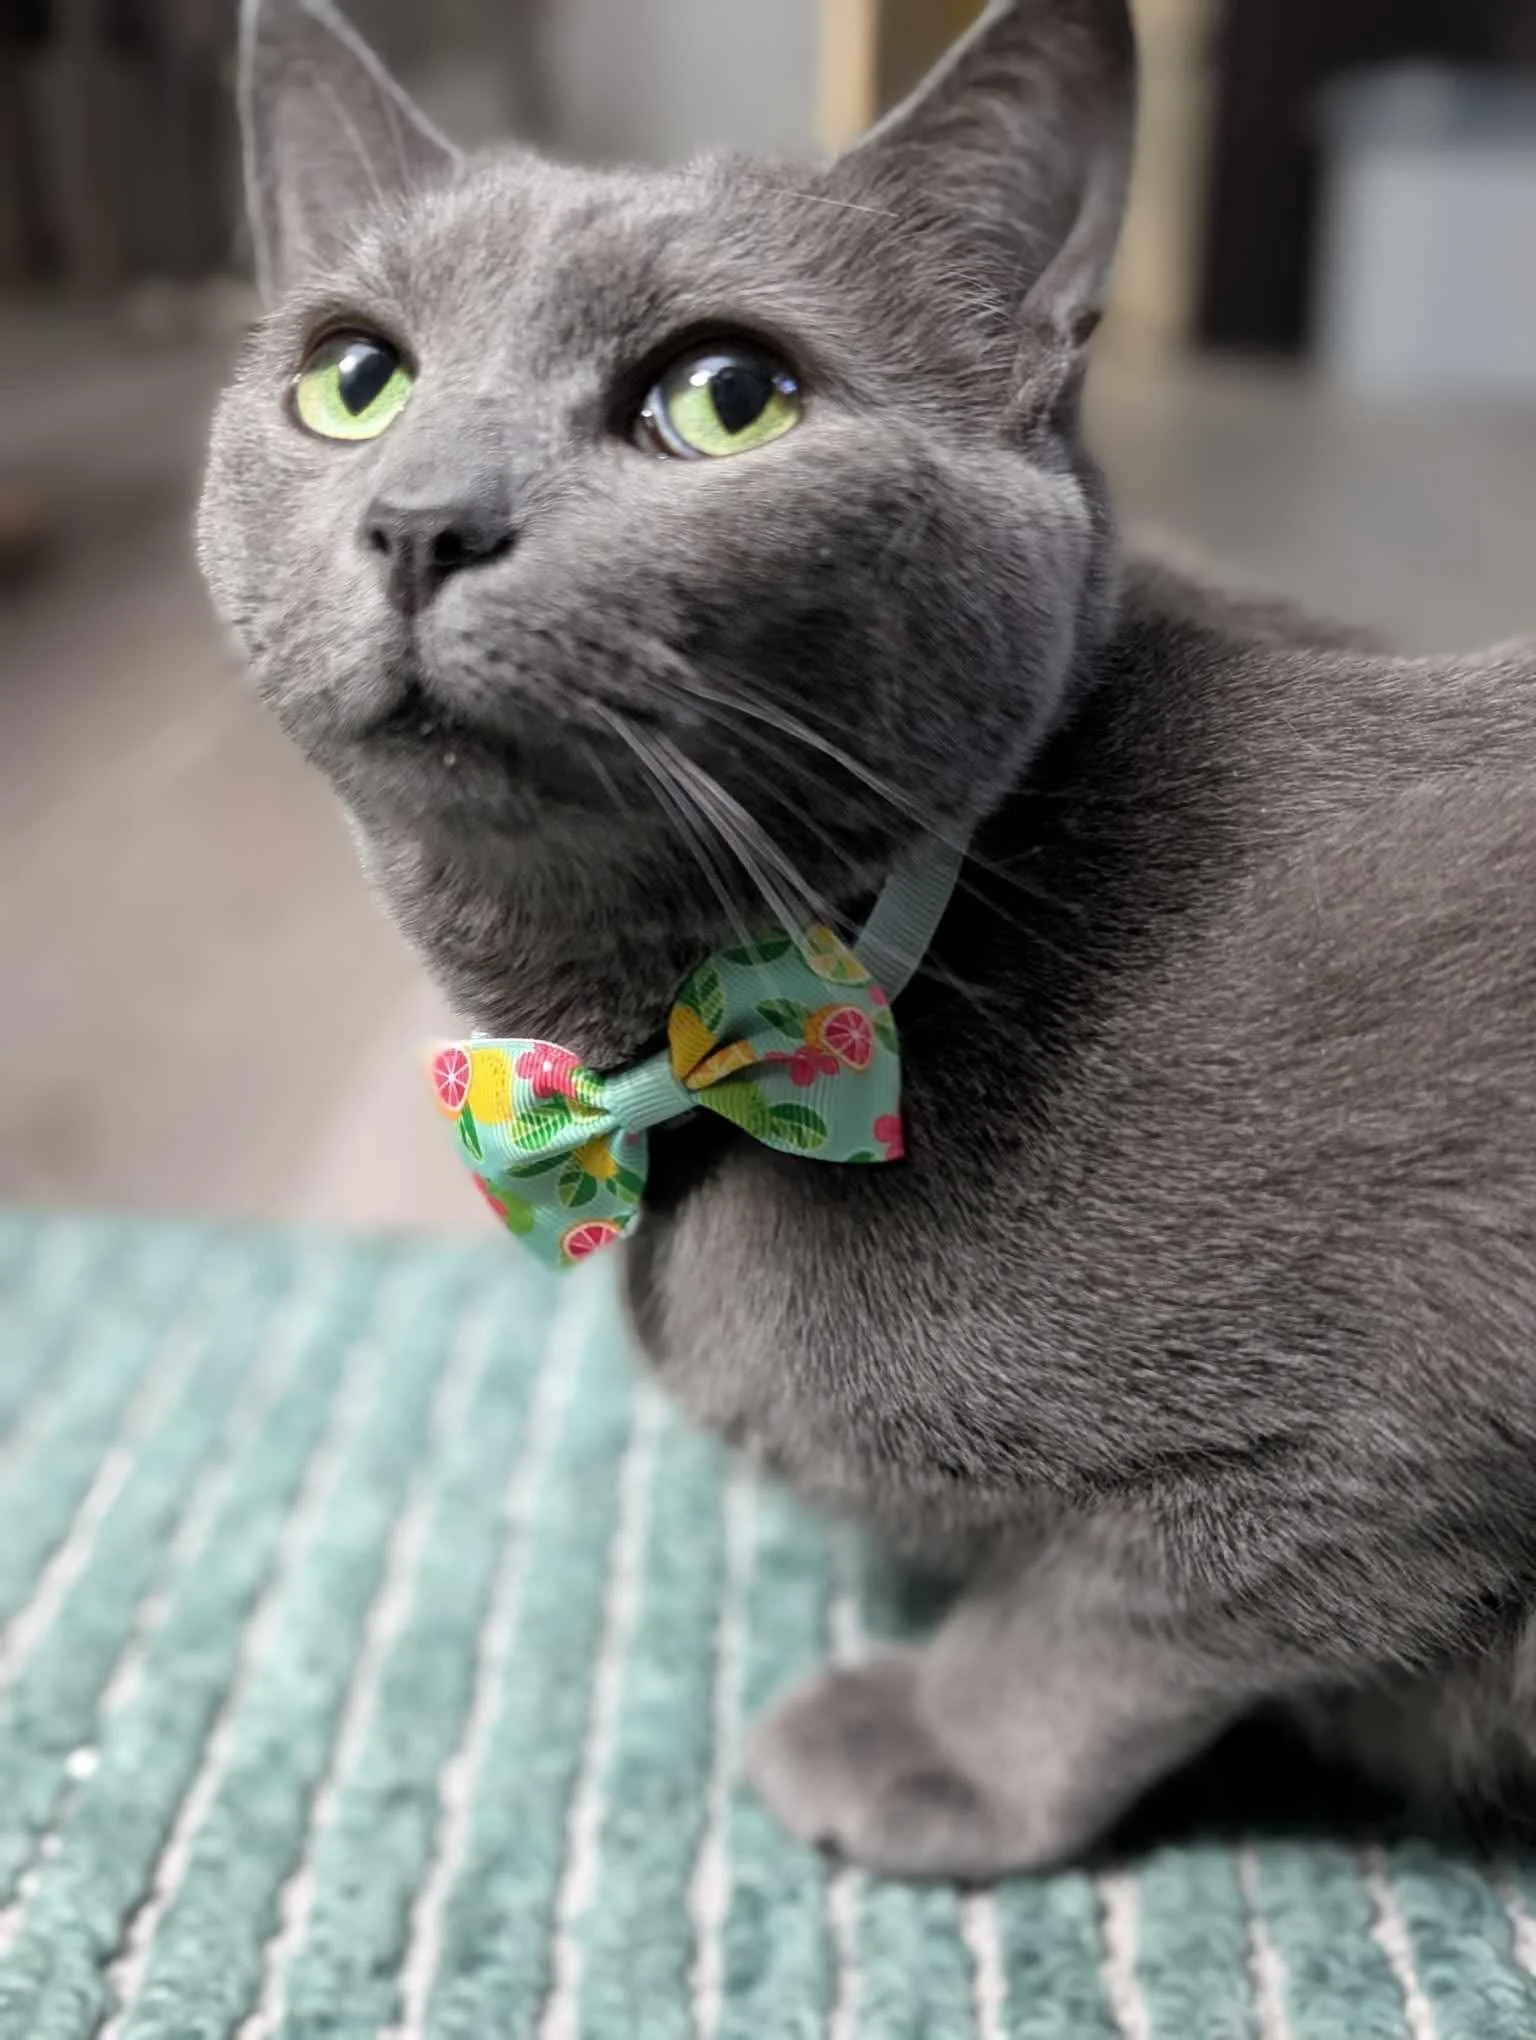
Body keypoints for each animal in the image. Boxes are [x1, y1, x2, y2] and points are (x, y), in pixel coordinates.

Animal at [199, 0, 1536, 1880]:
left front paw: (925, 1741)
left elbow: (1126, 1608)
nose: (420, 517)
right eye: (354, 377)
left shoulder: (1409, 1401)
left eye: (724, 398)